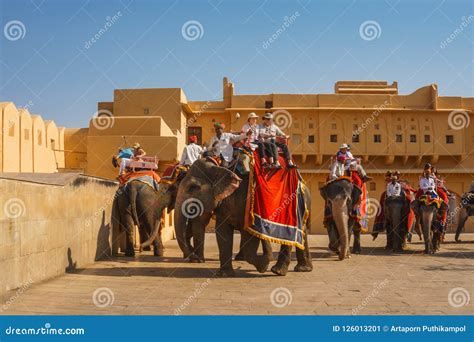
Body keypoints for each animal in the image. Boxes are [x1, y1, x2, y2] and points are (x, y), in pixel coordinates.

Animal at [173, 158, 312, 278]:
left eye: (193, 187)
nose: (195, 259)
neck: (218, 166)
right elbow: (222, 232)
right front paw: (224, 274)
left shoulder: (247, 202)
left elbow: (249, 233)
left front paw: (263, 265)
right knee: (302, 233)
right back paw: (302, 269)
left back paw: (277, 271)